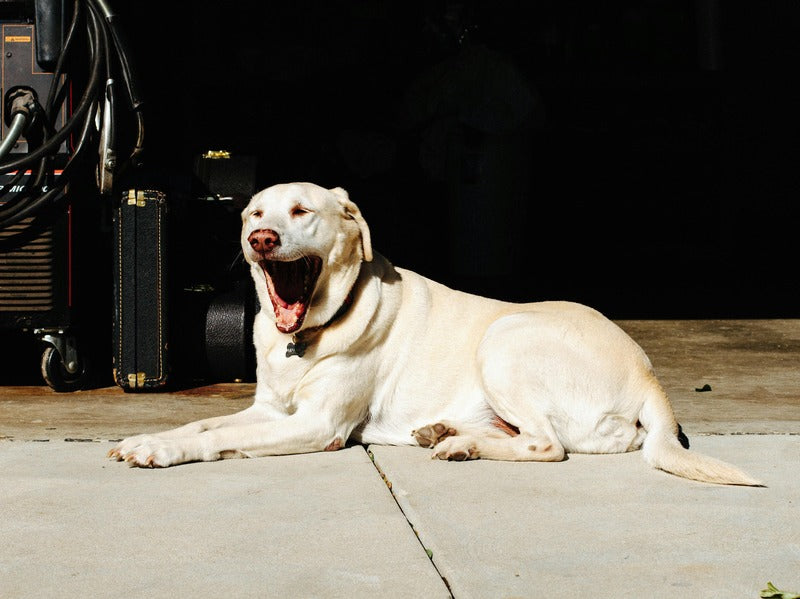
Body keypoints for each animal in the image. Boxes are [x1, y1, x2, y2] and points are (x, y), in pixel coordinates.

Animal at [109, 180, 760, 486]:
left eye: (301, 212)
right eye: (254, 213)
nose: (259, 239)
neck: (313, 329)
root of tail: (649, 375)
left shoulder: (317, 425)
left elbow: (217, 438)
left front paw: (161, 452)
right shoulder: (269, 408)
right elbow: (202, 423)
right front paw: (147, 437)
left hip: (506, 337)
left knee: (548, 445)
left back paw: (457, 444)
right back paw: (447, 432)